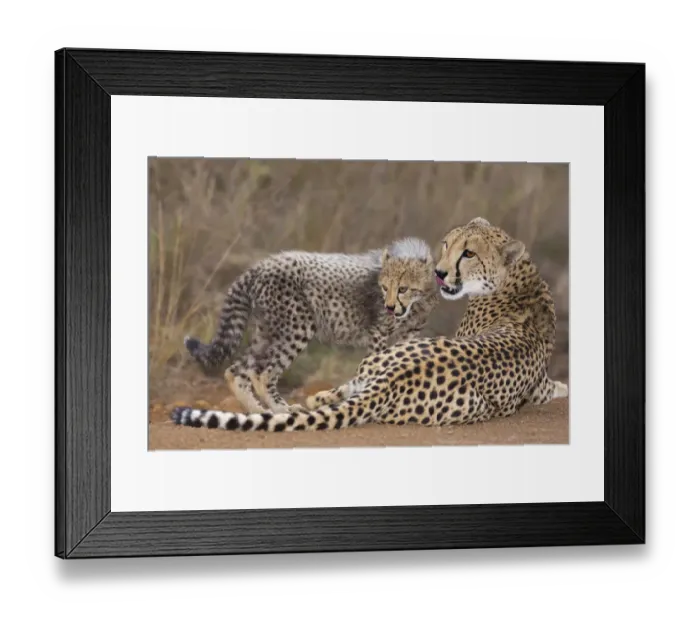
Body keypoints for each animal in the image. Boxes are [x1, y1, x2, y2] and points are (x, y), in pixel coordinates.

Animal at [183, 237, 440, 414]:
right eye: (384, 287)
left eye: (403, 288)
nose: (389, 307)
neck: (415, 304)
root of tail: (261, 265)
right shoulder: (379, 333)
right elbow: (376, 364)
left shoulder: (410, 334)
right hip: (297, 327)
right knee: (262, 373)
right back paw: (282, 409)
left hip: (266, 332)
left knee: (237, 371)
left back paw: (258, 410)